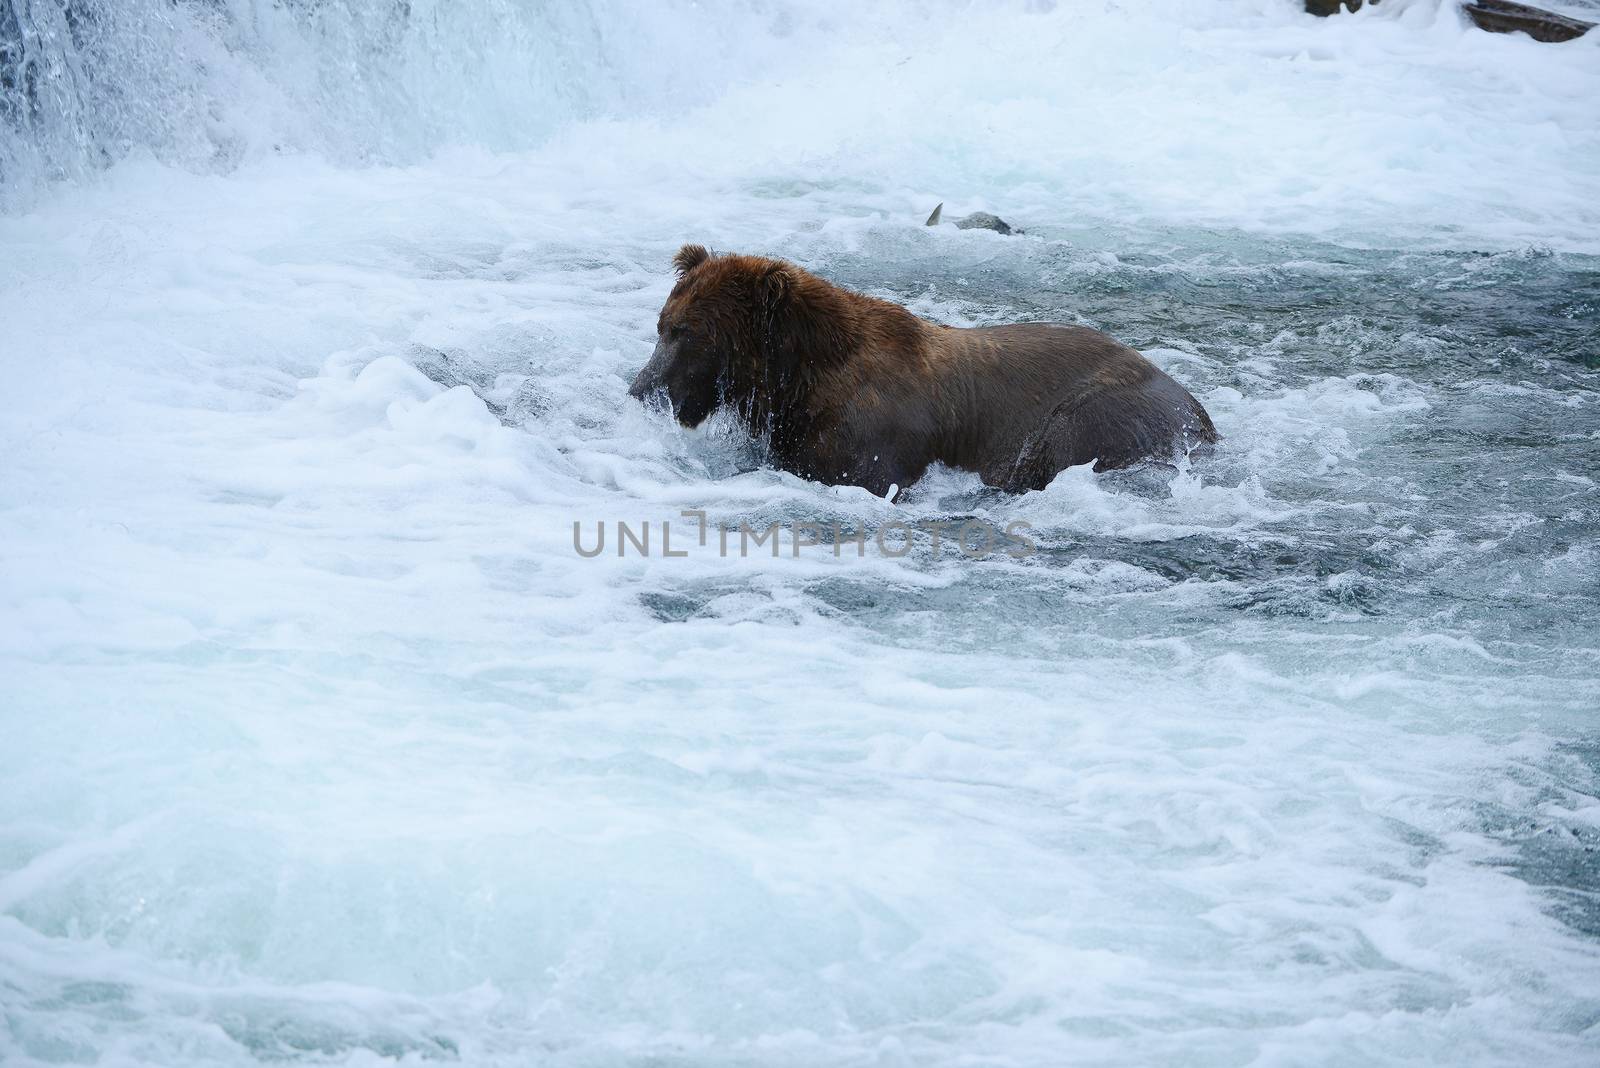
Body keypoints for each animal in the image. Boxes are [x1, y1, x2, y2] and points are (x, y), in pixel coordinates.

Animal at [624, 244, 1209, 498]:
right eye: (663, 324)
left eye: (688, 333)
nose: (640, 387)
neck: (796, 384)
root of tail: (1200, 411)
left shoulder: (872, 438)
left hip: (1101, 416)